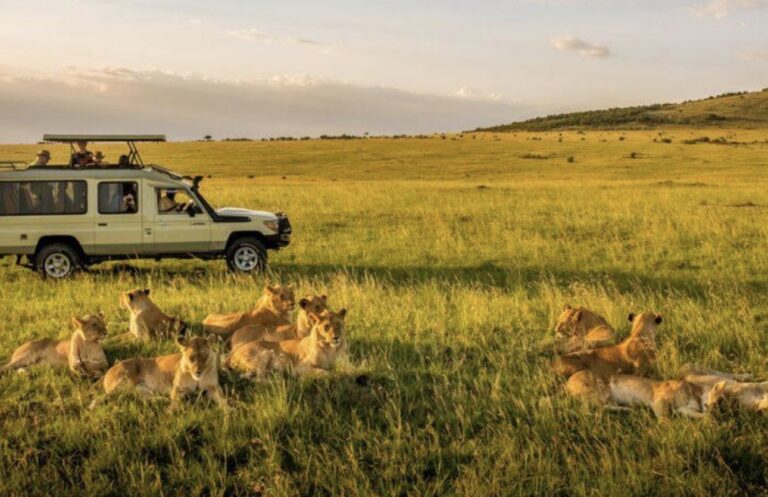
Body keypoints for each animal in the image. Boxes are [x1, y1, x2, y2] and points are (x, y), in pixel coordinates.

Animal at [565, 370, 706, 419]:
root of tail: (568, 381)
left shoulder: (683, 408)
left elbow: (699, 415)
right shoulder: (658, 401)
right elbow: (665, 418)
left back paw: (629, 409)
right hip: (602, 391)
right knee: (590, 409)